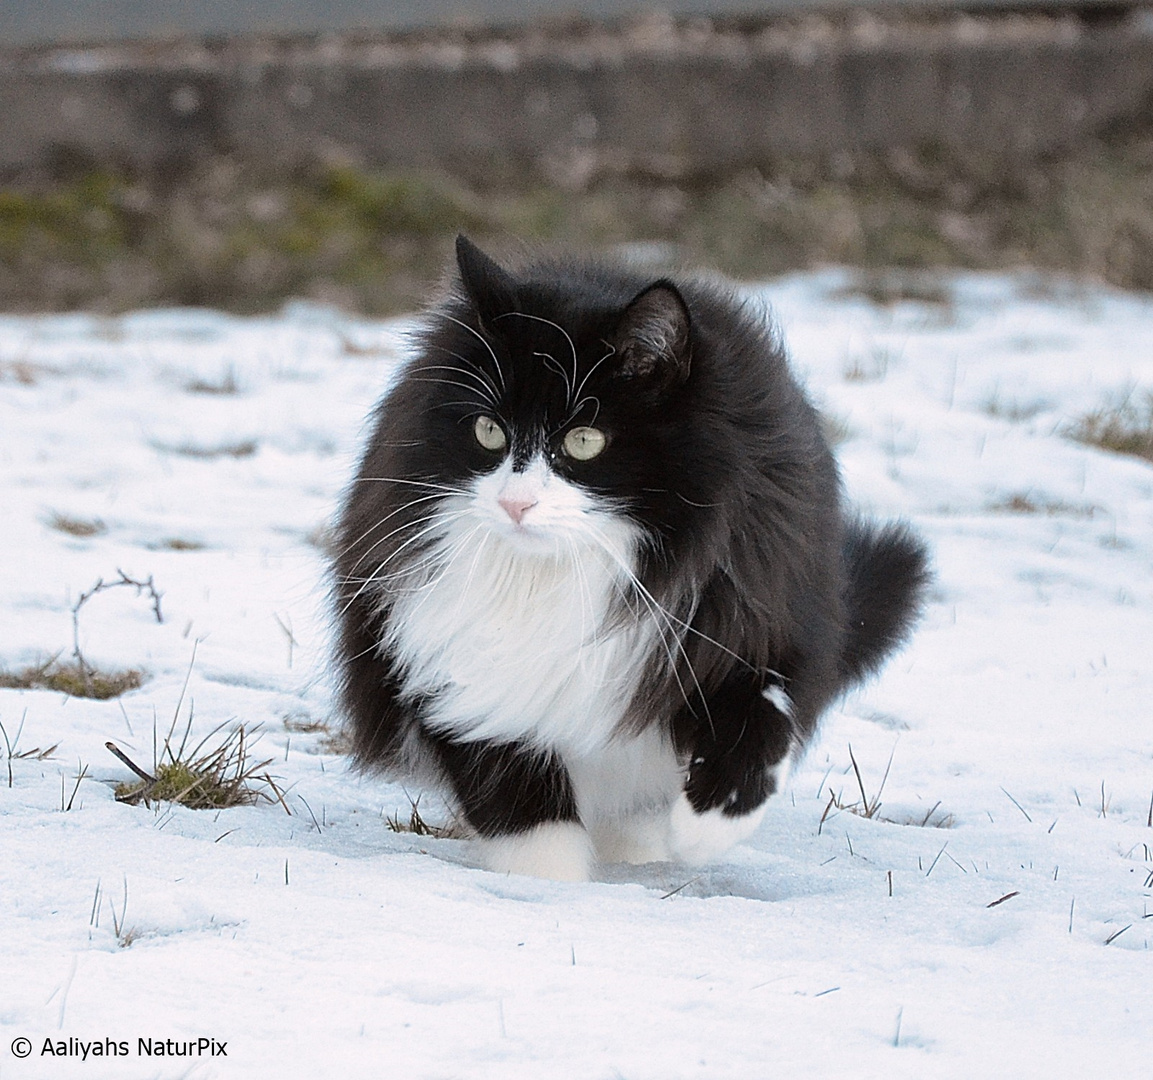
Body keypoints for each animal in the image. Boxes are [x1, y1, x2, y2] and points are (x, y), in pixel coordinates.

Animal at [332, 233, 927, 875]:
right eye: (489, 431)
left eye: (584, 441)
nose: (516, 504)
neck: (560, 577)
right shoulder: (441, 659)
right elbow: (517, 798)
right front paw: (548, 882)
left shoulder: (757, 612)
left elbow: (761, 709)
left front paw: (706, 828)